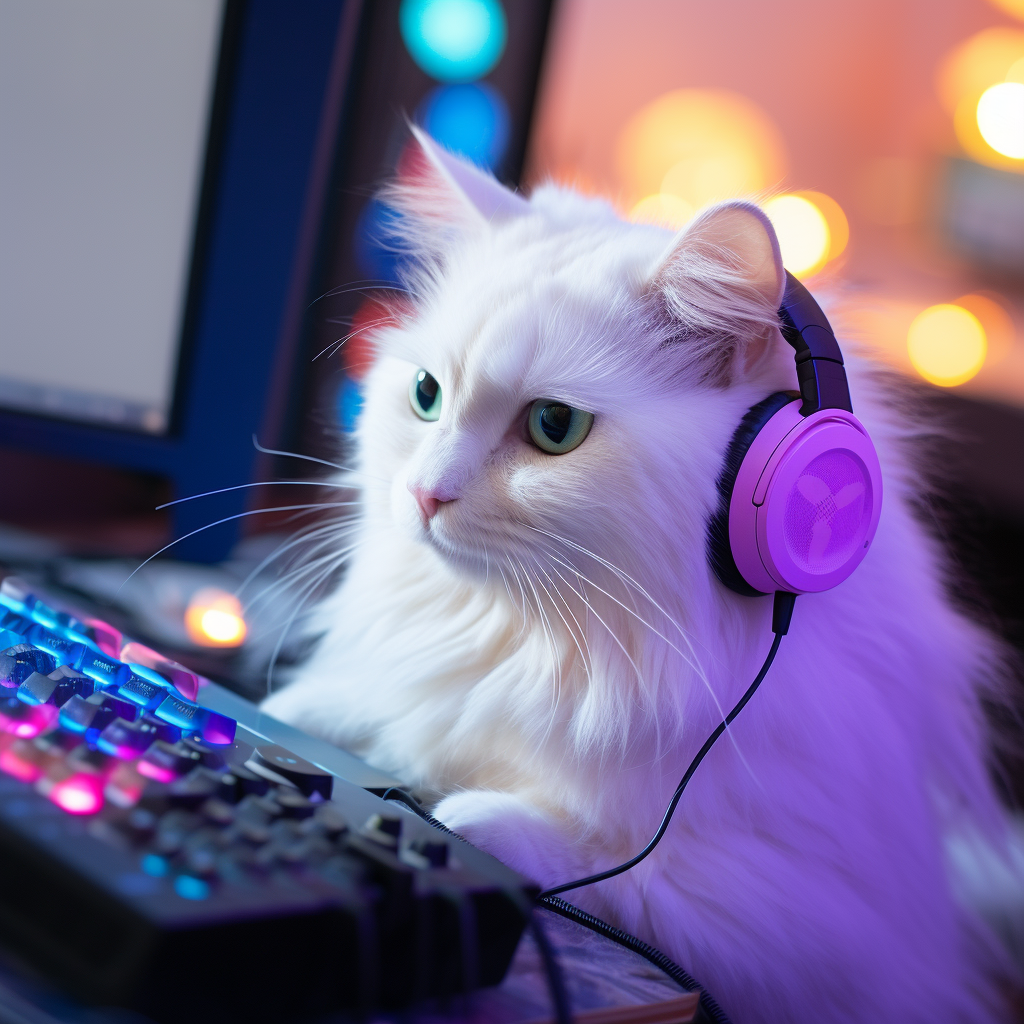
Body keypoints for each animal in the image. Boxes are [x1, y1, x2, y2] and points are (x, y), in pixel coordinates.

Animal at [264, 134, 1015, 1024]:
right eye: (424, 395)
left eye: (555, 427)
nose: (423, 494)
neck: (539, 639)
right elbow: (327, 714)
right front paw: (292, 716)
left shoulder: (813, 927)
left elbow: (609, 866)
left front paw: (459, 807)